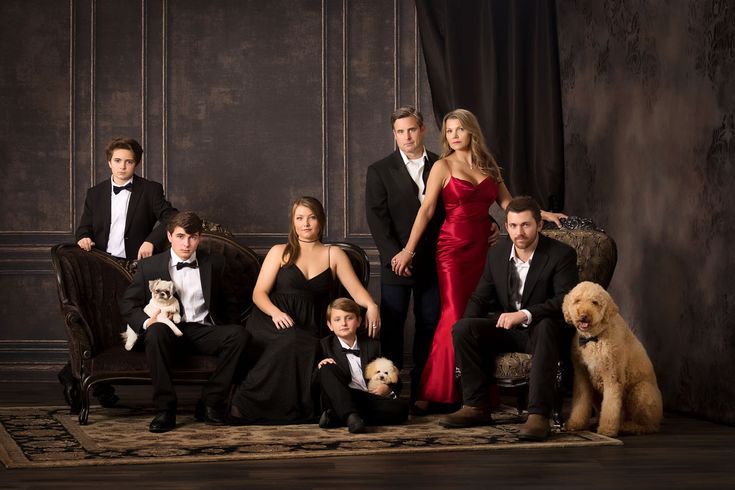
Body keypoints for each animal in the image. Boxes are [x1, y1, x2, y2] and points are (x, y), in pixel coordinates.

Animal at [560, 282, 664, 438]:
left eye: (594, 302)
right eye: (577, 301)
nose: (583, 316)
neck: (594, 338)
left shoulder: (612, 376)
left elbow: (610, 406)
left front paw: (607, 430)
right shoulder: (581, 375)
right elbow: (581, 401)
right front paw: (576, 424)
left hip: (641, 391)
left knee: (649, 426)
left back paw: (628, 427)